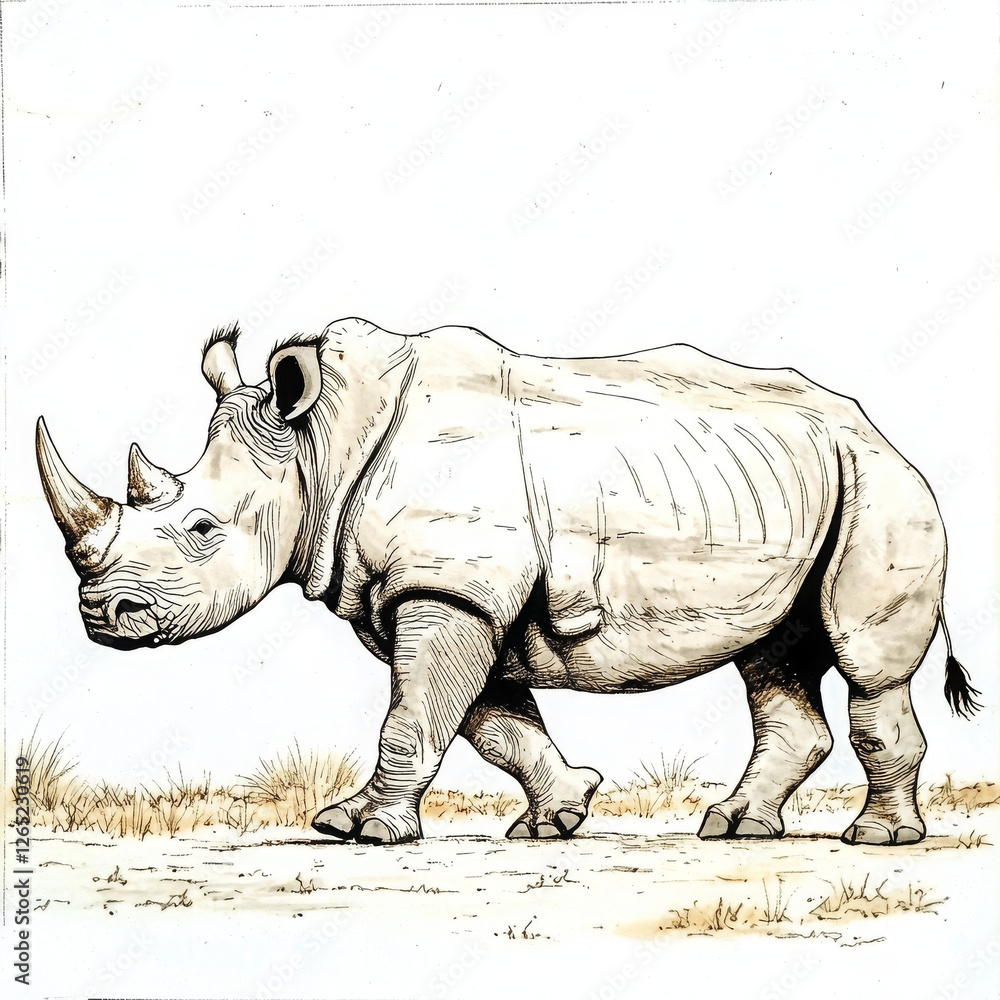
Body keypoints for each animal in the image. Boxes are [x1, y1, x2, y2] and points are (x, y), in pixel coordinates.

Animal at [37, 317, 981, 846]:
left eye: (202, 530)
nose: (102, 615)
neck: (319, 447)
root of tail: (883, 432)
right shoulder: (447, 591)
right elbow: (486, 723)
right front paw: (557, 817)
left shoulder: (446, 585)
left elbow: (414, 717)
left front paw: (355, 831)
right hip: (802, 486)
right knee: (773, 657)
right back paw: (734, 828)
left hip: (882, 487)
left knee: (866, 667)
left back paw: (876, 841)